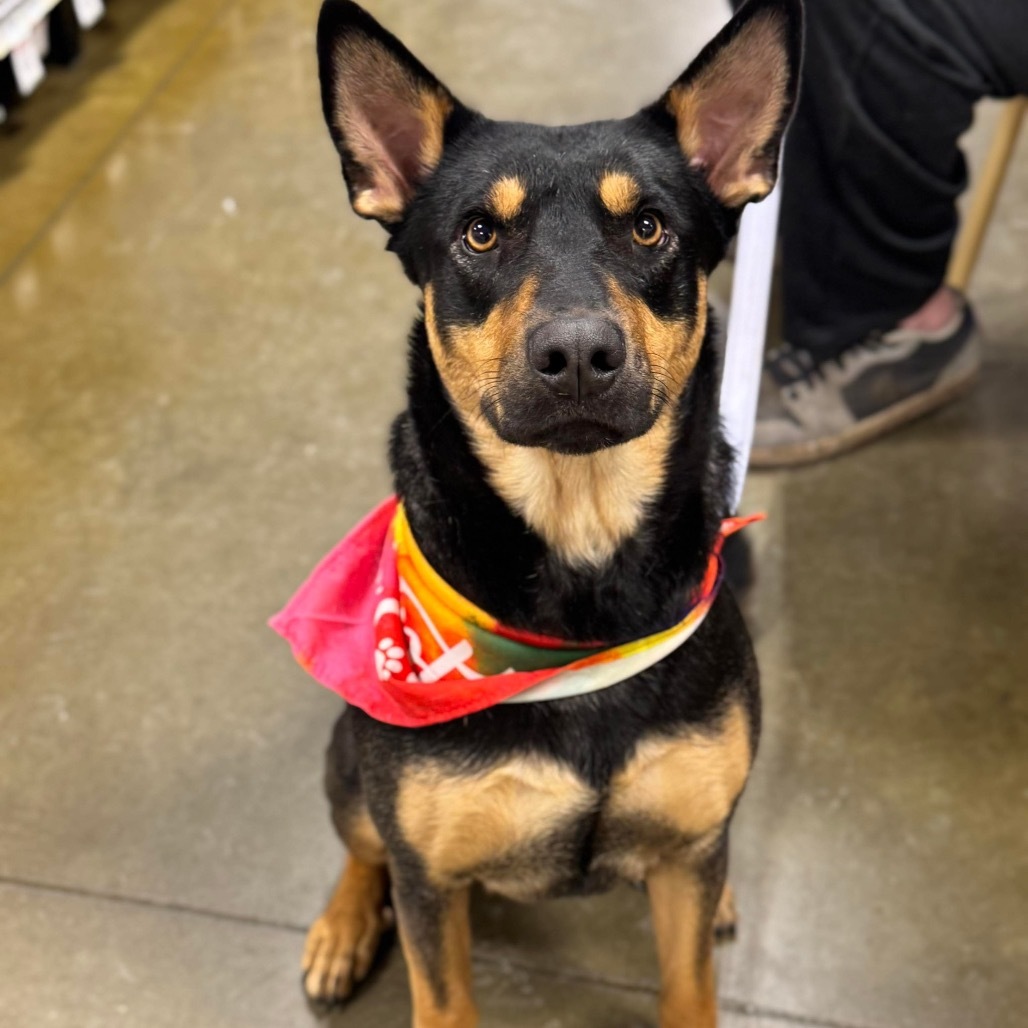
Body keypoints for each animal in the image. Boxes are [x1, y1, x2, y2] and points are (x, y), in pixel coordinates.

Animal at [300, 4, 797, 1023]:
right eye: (479, 234)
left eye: (648, 227)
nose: (576, 354)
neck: (580, 558)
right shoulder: (431, 882)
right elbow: (436, 982)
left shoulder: (684, 860)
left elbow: (691, 980)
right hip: (350, 765)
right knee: (361, 842)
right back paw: (339, 925)